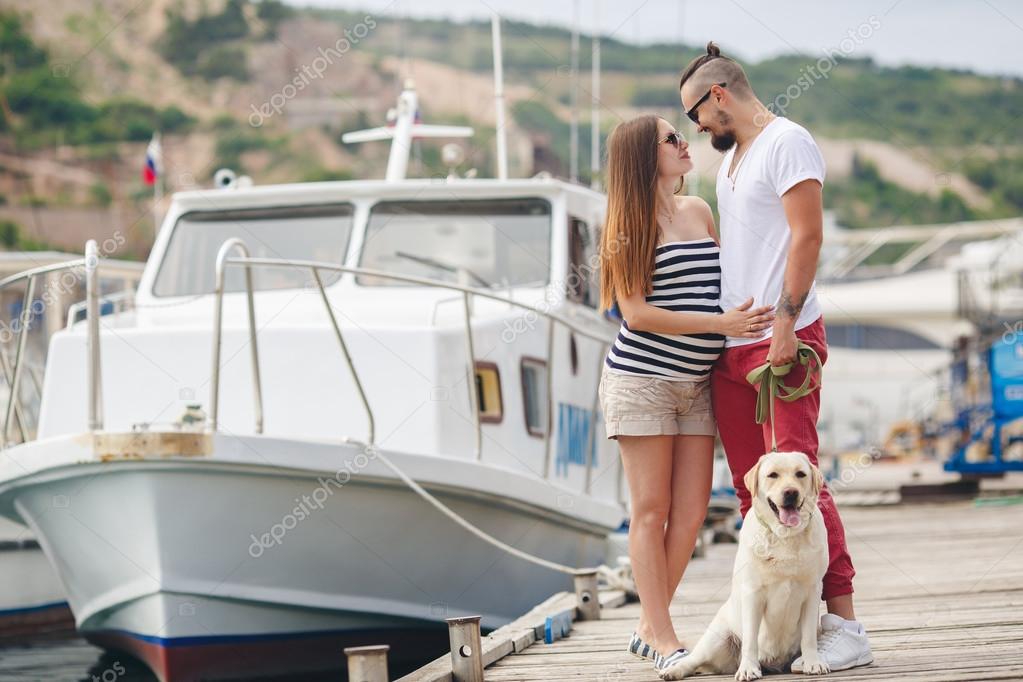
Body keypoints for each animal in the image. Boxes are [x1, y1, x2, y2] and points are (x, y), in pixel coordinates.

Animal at [662, 449, 830, 678]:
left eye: (800, 474)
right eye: (773, 475)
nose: (791, 492)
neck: (784, 536)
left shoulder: (813, 591)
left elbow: (809, 636)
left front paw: (813, 662)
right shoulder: (752, 592)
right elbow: (750, 639)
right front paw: (748, 668)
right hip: (717, 638)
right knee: (693, 660)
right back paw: (674, 670)